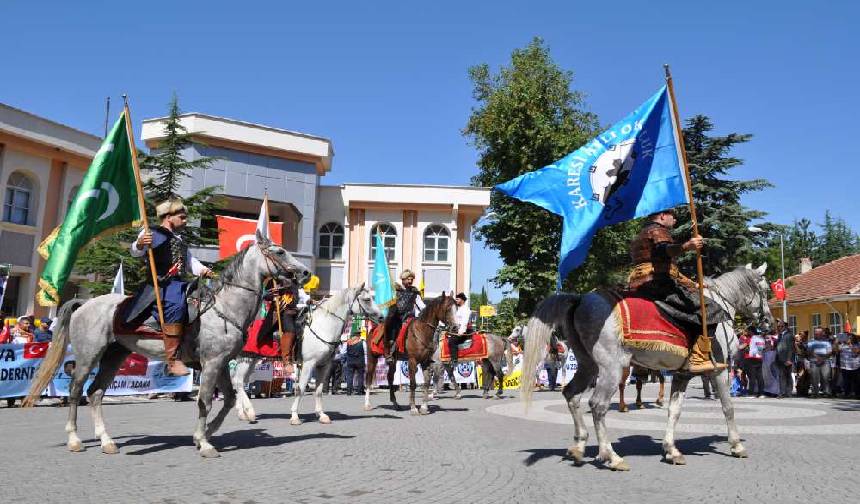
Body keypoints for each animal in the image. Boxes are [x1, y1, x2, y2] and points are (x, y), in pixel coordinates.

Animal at [22, 230, 312, 458]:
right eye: (280, 251)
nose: (306, 272)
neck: (225, 307)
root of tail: (85, 304)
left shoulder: (221, 363)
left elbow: (228, 400)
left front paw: (205, 434)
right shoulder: (211, 363)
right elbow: (205, 401)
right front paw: (205, 443)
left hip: (114, 356)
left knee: (95, 393)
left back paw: (106, 441)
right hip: (88, 356)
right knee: (75, 391)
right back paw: (74, 440)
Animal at [520, 264, 776, 468]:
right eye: (765, 291)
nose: (769, 322)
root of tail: (580, 299)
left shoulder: (682, 375)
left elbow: (674, 411)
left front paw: (672, 450)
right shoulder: (720, 370)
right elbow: (728, 408)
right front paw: (736, 446)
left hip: (588, 365)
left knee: (572, 394)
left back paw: (579, 446)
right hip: (611, 368)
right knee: (598, 405)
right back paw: (611, 456)